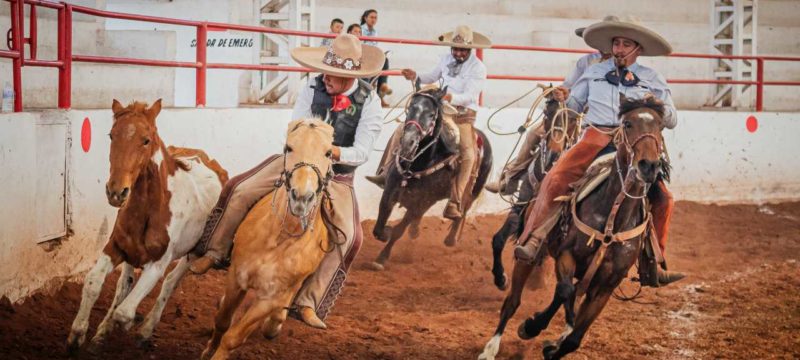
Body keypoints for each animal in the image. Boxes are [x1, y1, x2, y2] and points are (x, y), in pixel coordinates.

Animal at [66, 100, 230, 352]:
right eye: (112, 135)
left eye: (146, 140)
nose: (116, 191)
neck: (151, 210)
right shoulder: (115, 247)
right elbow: (94, 283)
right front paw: (79, 334)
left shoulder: (158, 263)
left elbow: (125, 312)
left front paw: (128, 325)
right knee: (124, 284)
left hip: (192, 254)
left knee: (169, 284)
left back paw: (145, 330)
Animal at [202, 119, 336, 360]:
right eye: (288, 147)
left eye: (328, 152)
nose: (302, 197)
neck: (278, 239)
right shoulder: (237, 277)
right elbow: (223, 321)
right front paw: (208, 349)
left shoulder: (270, 298)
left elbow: (233, 337)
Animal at [370, 85, 494, 270]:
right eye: (410, 108)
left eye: (431, 114)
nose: (408, 142)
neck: (421, 162)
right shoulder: (390, 191)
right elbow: (379, 225)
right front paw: (385, 233)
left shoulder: (421, 202)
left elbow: (399, 230)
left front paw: (381, 257)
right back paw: (415, 231)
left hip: (473, 190)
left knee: (463, 209)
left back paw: (451, 238)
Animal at [490, 88, 580, 292]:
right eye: (547, 114)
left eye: (571, 120)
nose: (554, 152)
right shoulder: (522, 202)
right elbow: (501, 236)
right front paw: (500, 279)